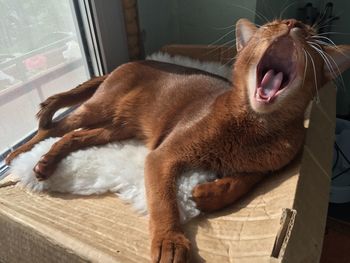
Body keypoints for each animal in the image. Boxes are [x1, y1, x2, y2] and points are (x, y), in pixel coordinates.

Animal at [4, 17, 350, 262]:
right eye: (270, 25)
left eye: (309, 30)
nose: (293, 23)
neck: (255, 127)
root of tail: (127, 63)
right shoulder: (163, 154)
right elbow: (163, 201)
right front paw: (169, 242)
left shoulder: (274, 163)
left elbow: (247, 180)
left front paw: (209, 193)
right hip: (99, 108)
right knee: (54, 128)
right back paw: (19, 156)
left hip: (118, 128)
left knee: (75, 137)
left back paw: (45, 163)